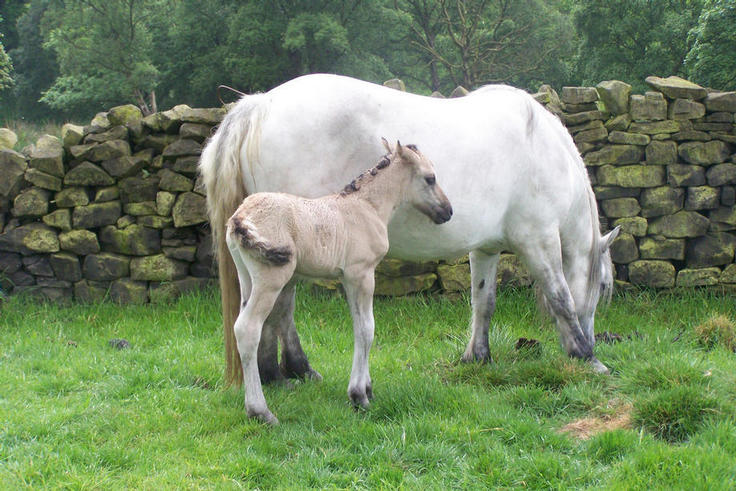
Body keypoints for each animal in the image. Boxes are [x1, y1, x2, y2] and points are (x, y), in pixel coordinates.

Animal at [198, 74, 620, 388]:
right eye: (603, 287)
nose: (593, 339)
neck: (544, 149)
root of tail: (260, 105)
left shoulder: (485, 249)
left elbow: (483, 302)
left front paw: (477, 358)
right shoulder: (538, 240)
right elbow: (562, 297)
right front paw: (588, 358)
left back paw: (278, 374)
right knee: (280, 308)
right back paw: (290, 371)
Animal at [227, 140, 452, 424]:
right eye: (430, 178)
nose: (448, 211)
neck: (368, 207)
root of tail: (240, 217)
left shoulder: (349, 278)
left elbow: (358, 327)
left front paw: (367, 388)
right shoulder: (362, 274)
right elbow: (367, 329)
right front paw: (359, 396)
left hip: (246, 277)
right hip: (271, 279)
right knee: (248, 329)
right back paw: (260, 411)